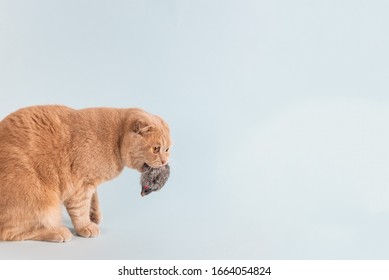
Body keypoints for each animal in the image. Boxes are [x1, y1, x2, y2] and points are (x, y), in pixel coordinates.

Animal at [0, 106, 170, 242]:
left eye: (167, 149)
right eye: (156, 149)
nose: (164, 161)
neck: (116, 138)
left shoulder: (91, 183)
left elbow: (93, 198)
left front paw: (94, 215)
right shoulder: (80, 186)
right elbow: (80, 209)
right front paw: (85, 226)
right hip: (39, 198)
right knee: (11, 232)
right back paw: (57, 232)